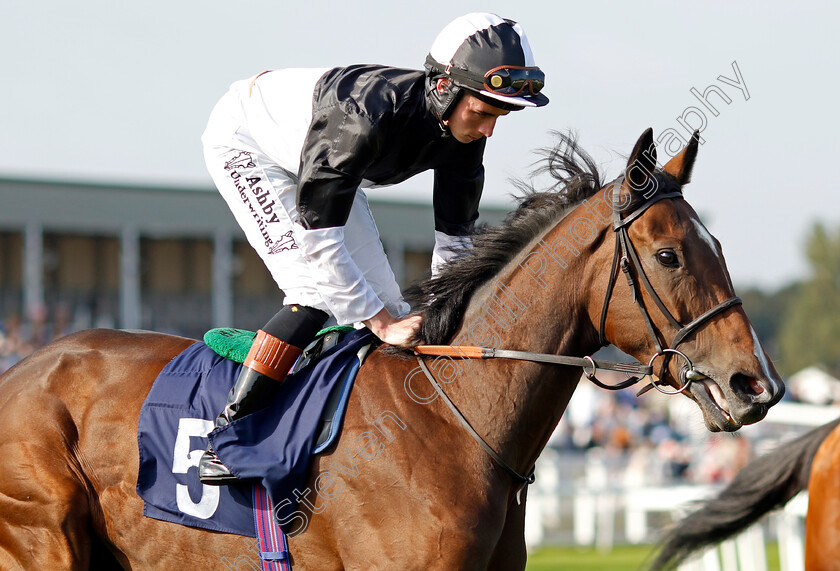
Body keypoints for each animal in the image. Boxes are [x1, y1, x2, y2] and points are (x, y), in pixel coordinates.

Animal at [1, 130, 788, 571]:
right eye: (668, 255)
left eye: (718, 246)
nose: (758, 384)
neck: (452, 418)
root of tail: (23, 367)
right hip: (41, 538)